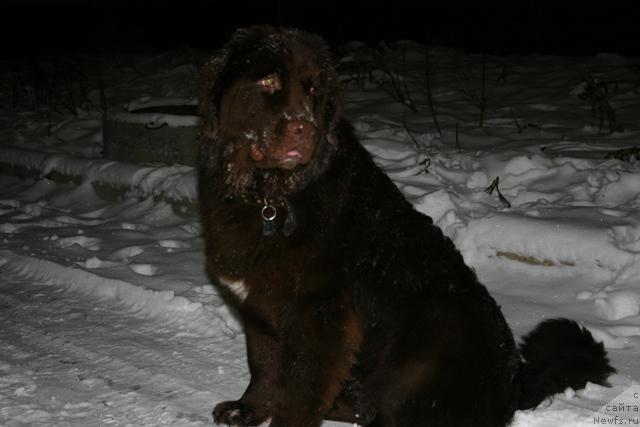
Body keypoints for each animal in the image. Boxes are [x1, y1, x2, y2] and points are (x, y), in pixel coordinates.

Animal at [196, 26, 616, 427]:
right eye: (268, 81)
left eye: (313, 89)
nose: (304, 128)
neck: (267, 196)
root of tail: (512, 383)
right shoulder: (257, 306)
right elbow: (264, 365)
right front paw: (247, 409)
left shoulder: (319, 316)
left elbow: (299, 389)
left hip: (426, 346)